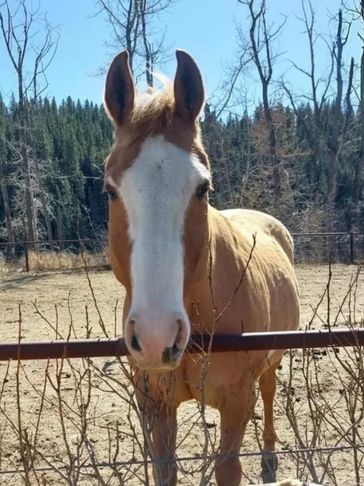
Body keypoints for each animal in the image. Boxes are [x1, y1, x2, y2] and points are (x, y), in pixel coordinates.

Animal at [102, 50, 298, 486]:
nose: (156, 336)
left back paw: (270, 458)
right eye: (110, 190)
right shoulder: (156, 407)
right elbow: (165, 470)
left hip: (273, 359)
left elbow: (228, 467)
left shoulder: (237, 402)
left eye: (202, 188)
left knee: (271, 392)